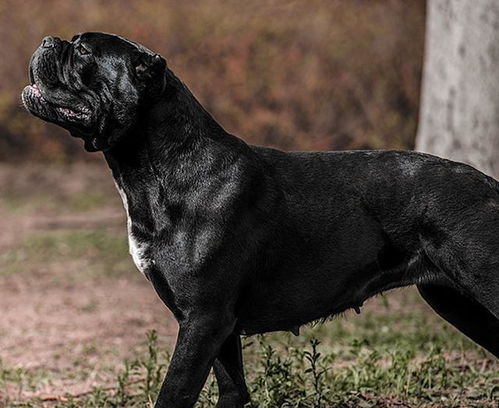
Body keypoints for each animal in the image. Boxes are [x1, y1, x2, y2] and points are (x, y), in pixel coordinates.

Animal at [21, 33, 498, 406]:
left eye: (83, 50)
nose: (47, 41)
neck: (159, 167)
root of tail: (489, 184)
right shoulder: (217, 327)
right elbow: (233, 390)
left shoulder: (204, 319)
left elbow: (173, 393)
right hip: (455, 301)